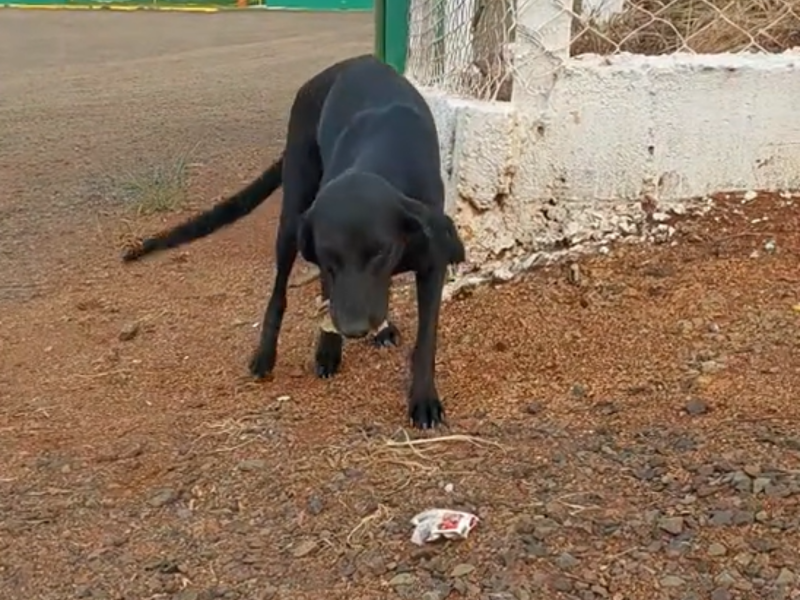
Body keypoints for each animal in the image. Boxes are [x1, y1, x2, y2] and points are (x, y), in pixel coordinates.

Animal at [122, 54, 466, 428]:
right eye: (330, 258)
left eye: (381, 252)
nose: (354, 329)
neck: (382, 157)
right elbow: (325, 295)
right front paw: (328, 349)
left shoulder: (431, 263)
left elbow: (426, 339)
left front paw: (423, 399)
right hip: (292, 216)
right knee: (278, 294)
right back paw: (267, 355)